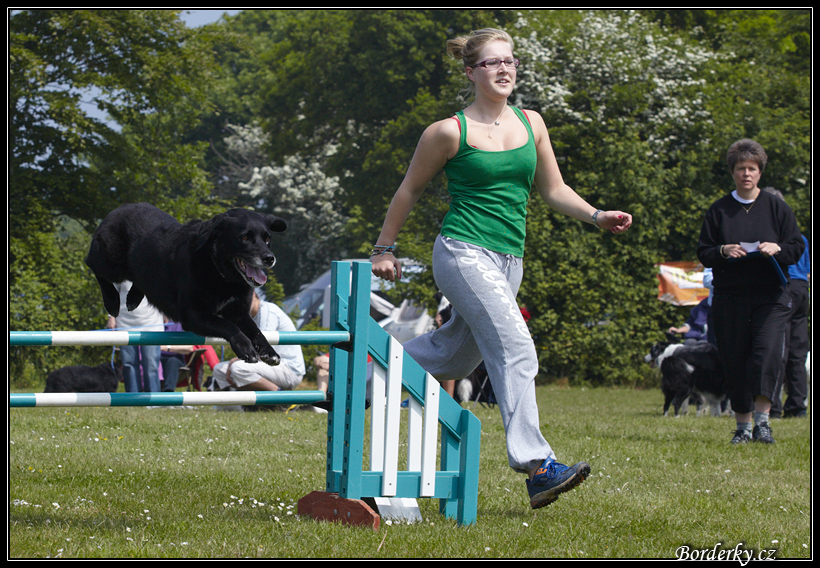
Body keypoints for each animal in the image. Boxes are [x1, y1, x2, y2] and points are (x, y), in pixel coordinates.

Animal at [85, 203, 286, 364]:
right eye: (244, 237)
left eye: (267, 238)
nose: (269, 258)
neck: (219, 272)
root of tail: (118, 209)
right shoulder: (193, 315)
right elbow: (229, 326)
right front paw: (245, 348)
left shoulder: (239, 313)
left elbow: (256, 330)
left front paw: (270, 352)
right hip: (113, 262)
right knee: (93, 265)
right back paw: (112, 301)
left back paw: (133, 298)